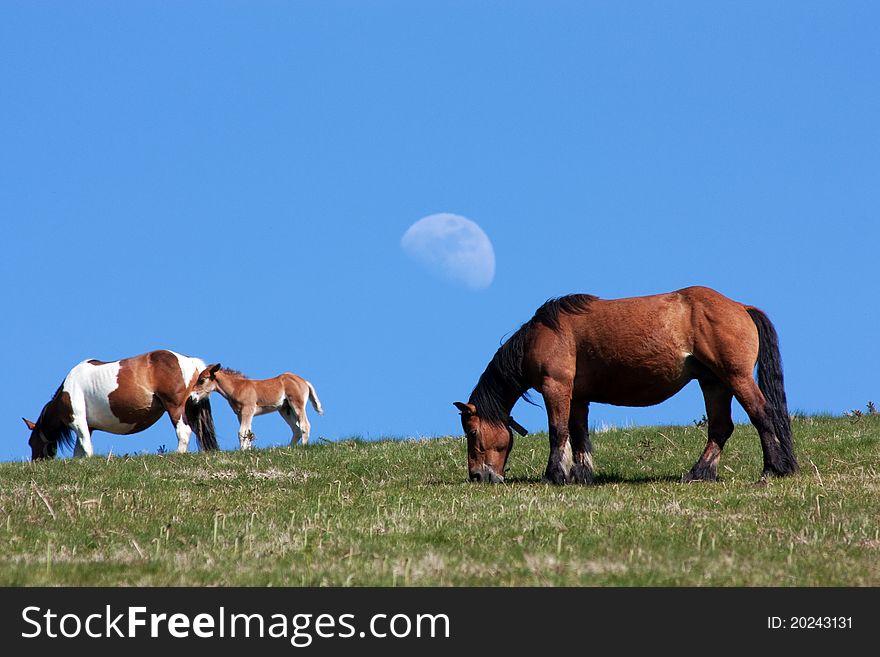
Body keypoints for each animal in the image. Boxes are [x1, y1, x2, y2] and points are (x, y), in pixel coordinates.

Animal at [22, 348, 218, 462]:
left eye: (31, 443)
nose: (36, 462)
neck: (68, 389)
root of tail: (189, 360)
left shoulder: (77, 421)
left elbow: (86, 447)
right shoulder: (87, 426)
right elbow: (80, 450)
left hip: (175, 408)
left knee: (184, 431)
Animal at [188, 364, 324, 452]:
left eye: (202, 380)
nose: (192, 397)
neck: (237, 387)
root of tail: (304, 381)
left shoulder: (248, 410)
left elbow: (242, 432)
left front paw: (243, 451)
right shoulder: (240, 414)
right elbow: (247, 432)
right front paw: (247, 450)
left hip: (297, 405)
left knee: (305, 425)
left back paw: (303, 447)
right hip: (285, 410)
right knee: (296, 429)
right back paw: (289, 448)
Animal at [454, 286, 796, 482]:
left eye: (472, 433)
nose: (477, 476)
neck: (544, 335)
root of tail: (740, 306)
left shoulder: (557, 387)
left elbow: (558, 431)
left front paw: (553, 475)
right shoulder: (578, 397)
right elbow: (579, 435)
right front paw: (580, 475)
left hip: (736, 378)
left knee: (762, 415)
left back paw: (771, 469)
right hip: (714, 383)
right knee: (720, 428)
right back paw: (699, 473)